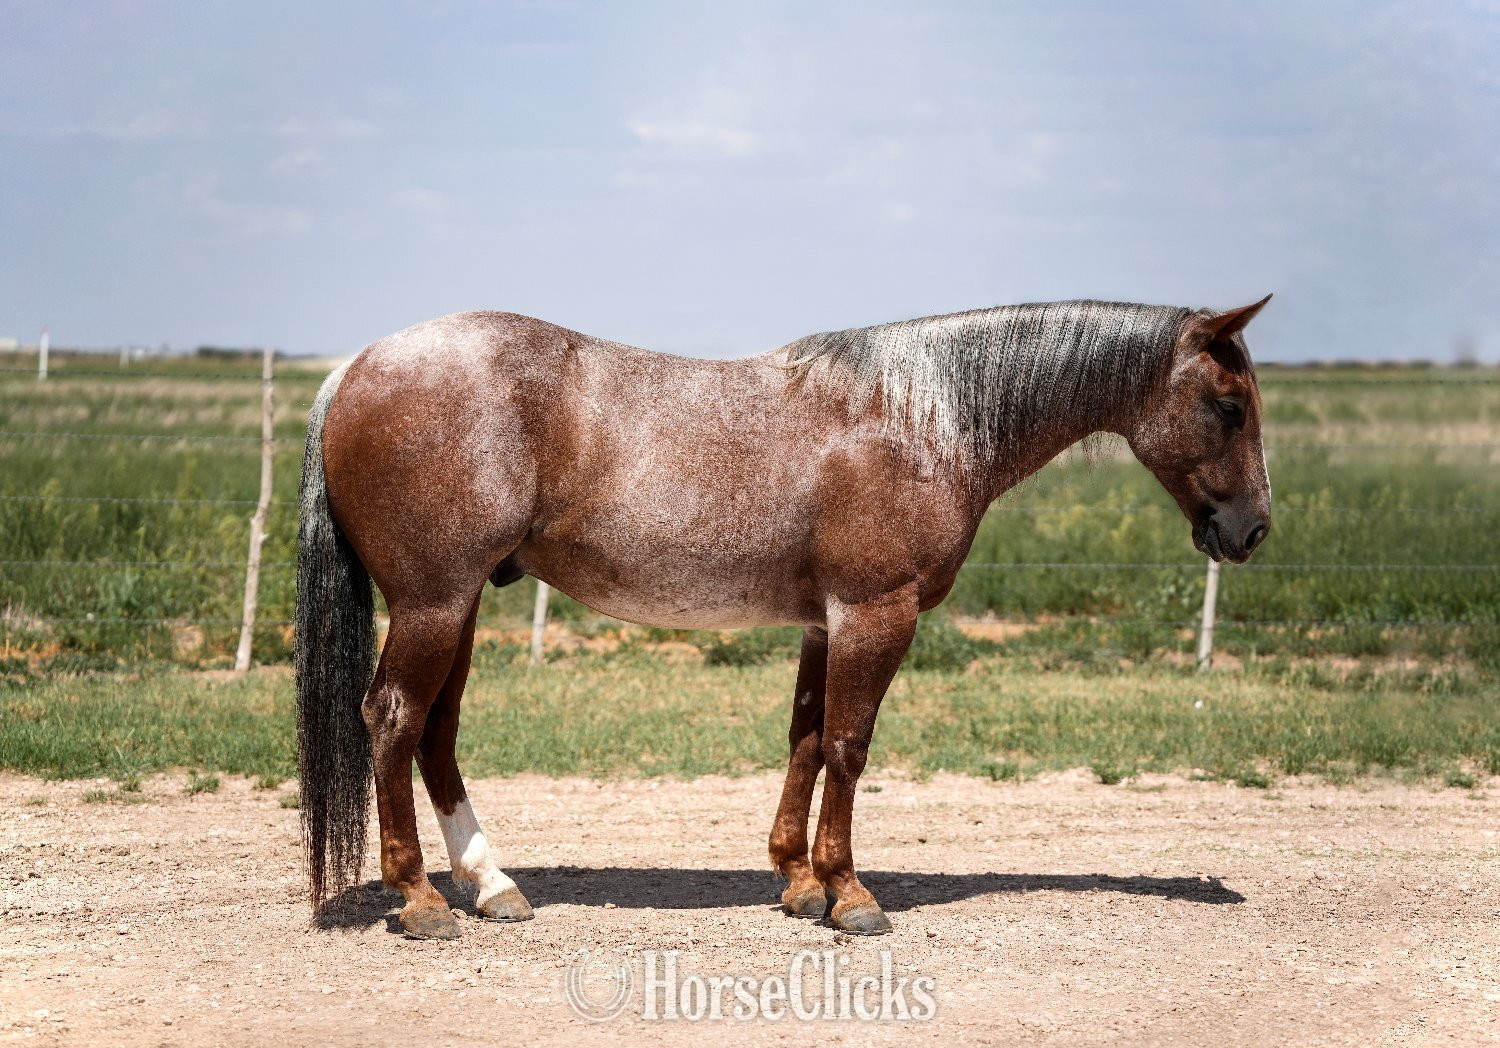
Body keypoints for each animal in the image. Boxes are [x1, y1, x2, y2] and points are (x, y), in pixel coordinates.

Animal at [294, 295, 1273, 940]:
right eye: (1229, 406)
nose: (1253, 531)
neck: (920, 417)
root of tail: (357, 366)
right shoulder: (877, 613)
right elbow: (850, 744)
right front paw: (851, 895)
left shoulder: (822, 622)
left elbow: (805, 739)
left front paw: (799, 883)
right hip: (433, 603)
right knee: (393, 718)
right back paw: (422, 901)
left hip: (456, 606)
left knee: (435, 733)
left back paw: (493, 885)